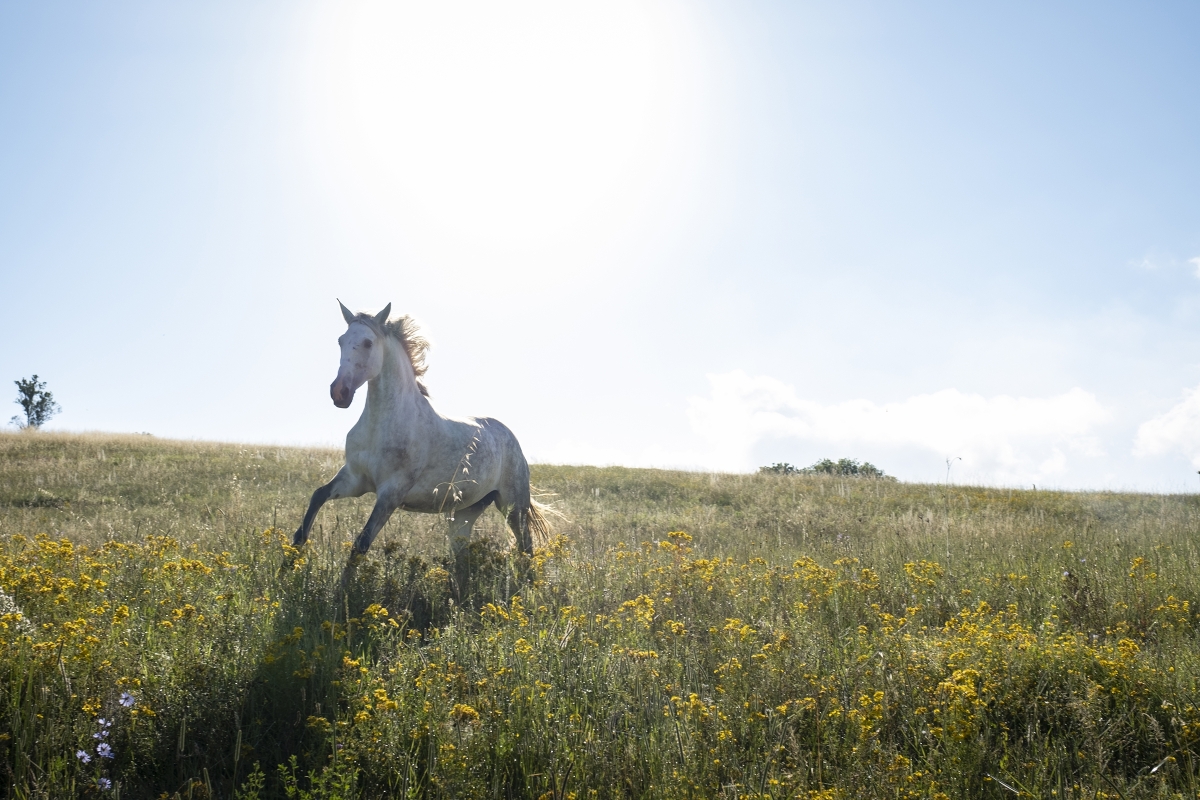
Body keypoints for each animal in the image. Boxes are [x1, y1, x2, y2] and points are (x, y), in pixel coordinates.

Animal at [292, 301, 552, 590]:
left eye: (368, 342)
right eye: (341, 340)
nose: (339, 392)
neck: (383, 424)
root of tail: (511, 438)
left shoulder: (391, 493)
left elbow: (361, 542)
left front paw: (342, 593)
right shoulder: (354, 479)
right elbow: (317, 497)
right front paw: (289, 562)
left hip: (512, 506)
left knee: (526, 547)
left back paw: (529, 588)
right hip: (464, 513)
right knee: (462, 558)